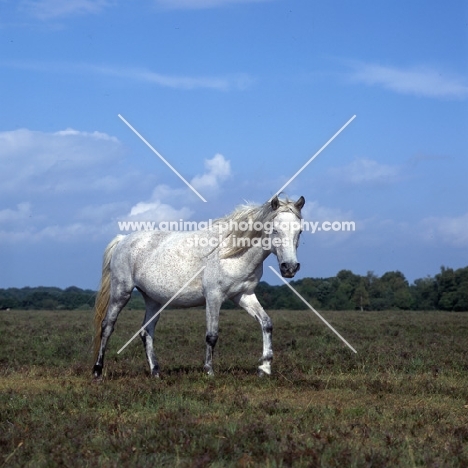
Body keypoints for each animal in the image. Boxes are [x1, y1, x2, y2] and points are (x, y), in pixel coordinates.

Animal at [93, 195, 306, 380]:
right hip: (121, 292)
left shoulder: (243, 295)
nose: (289, 268)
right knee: (107, 326)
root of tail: (123, 240)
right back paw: (97, 371)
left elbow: (266, 323)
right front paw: (209, 371)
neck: (231, 252)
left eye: (300, 231)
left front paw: (265, 367)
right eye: (275, 229)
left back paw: (156, 372)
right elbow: (212, 335)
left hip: (153, 300)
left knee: (146, 332)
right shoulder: (214, 297)